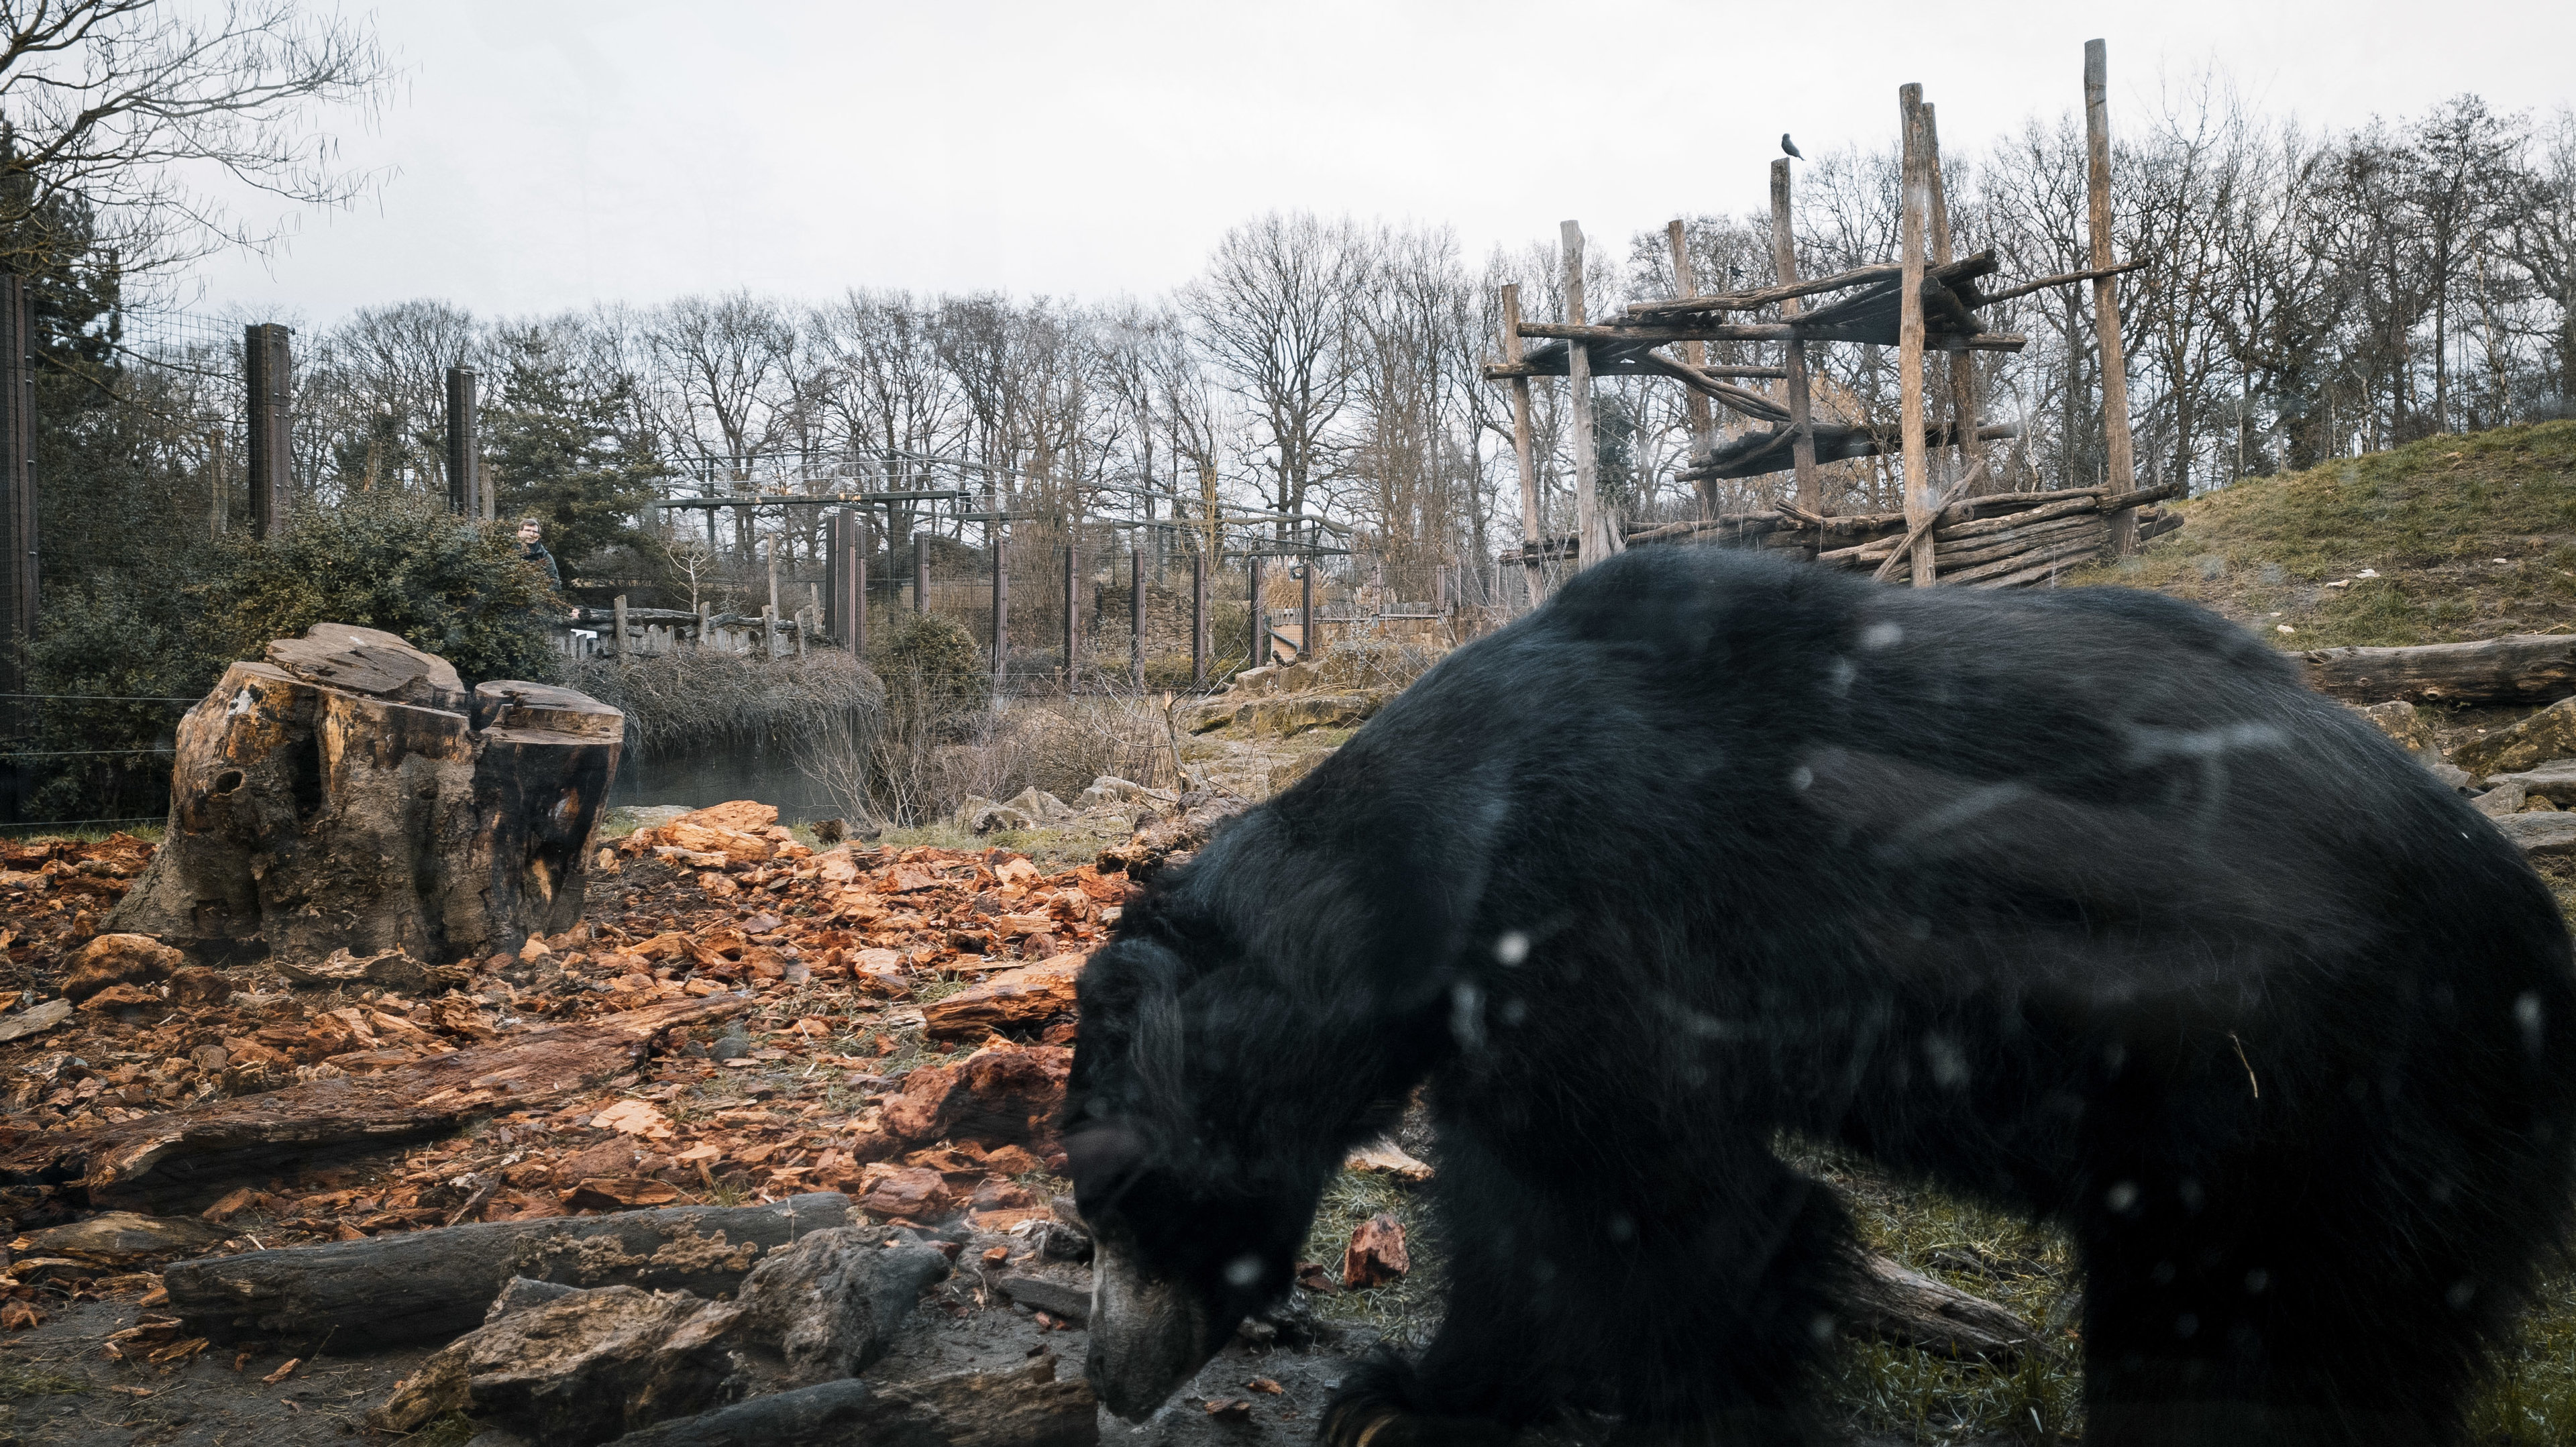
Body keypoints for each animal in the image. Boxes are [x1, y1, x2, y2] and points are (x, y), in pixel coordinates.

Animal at [1063, 545, 2576, 1446]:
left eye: (1111, 1206)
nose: (1111, 1381)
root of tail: (2533, 948)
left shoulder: (1597, 940)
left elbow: (1690, 1218)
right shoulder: (1500, 1032)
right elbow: (1518, 1215)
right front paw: (1411, 1396)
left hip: (2291, 1103)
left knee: (2263, 1345)